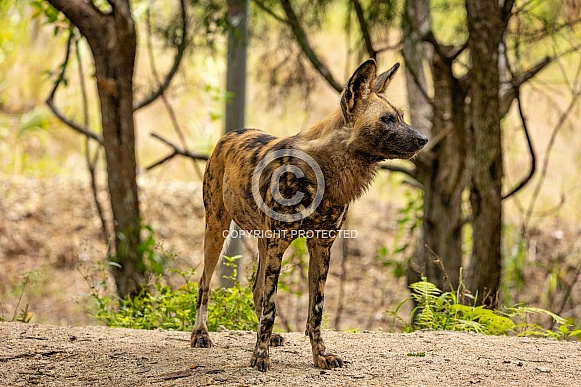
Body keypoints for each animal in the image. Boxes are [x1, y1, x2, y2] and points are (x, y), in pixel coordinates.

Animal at [190, 60, 426, 372]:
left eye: (401, 117)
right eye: (387, 119)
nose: (424, 139)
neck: (326, 172)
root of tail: (231, 133)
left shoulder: (321, 247)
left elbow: (315, 310)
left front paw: (320, 355)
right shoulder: (279, 244)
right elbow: (271, 308)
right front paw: (260, 356)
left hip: (262, 242)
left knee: (257, 289)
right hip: (218, 230)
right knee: (205, 284)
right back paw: (201, 335)